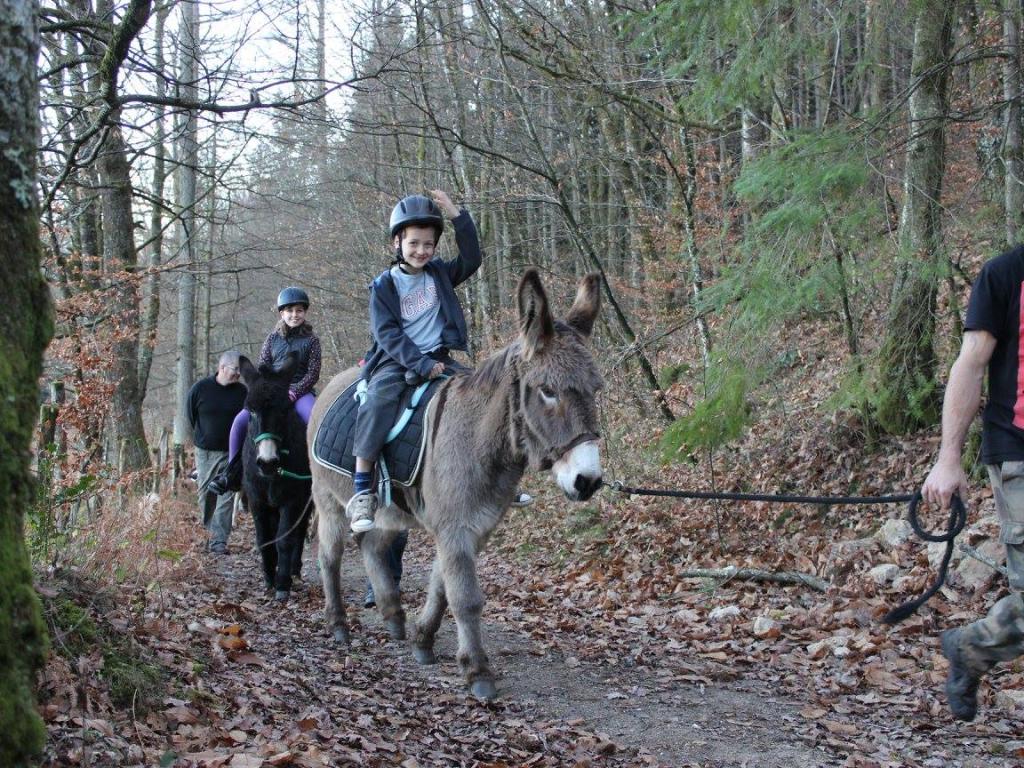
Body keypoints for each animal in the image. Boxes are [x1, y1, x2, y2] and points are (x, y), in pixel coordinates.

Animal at [238, 354, 311, 602]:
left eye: (285, 409)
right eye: (250, 410)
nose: (267, 462)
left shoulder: (292, 501)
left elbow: (285, 539)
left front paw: (282, 584)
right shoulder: (257, 501)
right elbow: (264, 540)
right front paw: (269, 578)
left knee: (299, 532)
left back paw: (295, 570)